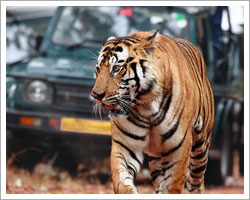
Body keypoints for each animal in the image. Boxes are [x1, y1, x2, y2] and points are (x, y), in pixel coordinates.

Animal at [91, 30, 214, 194]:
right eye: (98, 69)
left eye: (116, 68)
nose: (96, 95)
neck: (146, 108)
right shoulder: (125, 146)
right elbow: (121, 183)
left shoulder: (179, 148)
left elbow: (172, 185)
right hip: (157, 159)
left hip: (200, 146)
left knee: (196, 181)